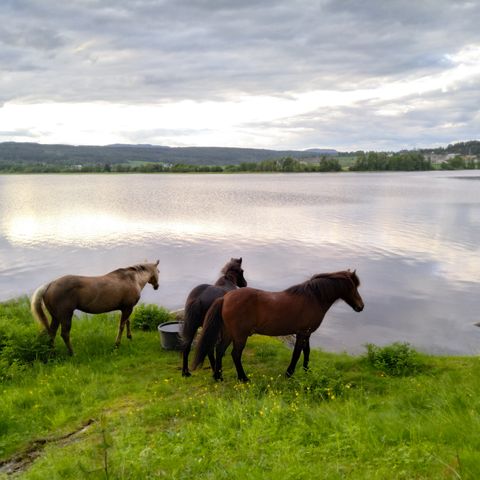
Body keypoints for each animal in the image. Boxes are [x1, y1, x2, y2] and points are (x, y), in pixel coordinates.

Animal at [31, 260, 160, 354]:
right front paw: (117, 344)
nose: (157, 286)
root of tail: (50, 284)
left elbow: (127, 322)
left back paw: (52, 352)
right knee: (64, 334)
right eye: (158, 271)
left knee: (51, 333)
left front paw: (129, 337)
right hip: (65, 316)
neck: (134, 279)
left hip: (56, 317)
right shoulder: (128, 308)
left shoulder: (126, 308)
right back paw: (72, 353)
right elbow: (122, 326)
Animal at [191, 270, 364, 382]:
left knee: (219, 351)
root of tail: (225, 298)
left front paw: (307, 371)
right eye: (352, 287)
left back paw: (218, 376)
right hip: (240, 336)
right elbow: (297, 354)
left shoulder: (307, 333)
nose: (360, 307)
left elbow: (306, 352)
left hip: (228, 333)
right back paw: (243, 378)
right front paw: (289, 373)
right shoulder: (302, 333)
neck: (313, 298)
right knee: (235, 354)